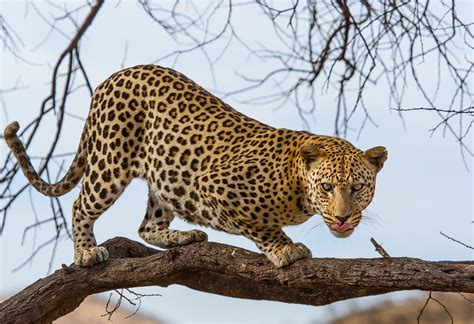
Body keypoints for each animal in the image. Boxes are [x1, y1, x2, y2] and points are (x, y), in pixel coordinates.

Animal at [3, 64, 386, 268]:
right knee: (81, 205)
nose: (342, 219)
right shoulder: (217, 184)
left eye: (358, 188)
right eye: (327, 187)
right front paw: (286, 249)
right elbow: (262, 226)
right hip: (110, 162)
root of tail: (109, 78)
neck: (297, 184)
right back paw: (86, 252)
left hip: (166, 176)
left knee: (146, 226)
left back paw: (183, 237)